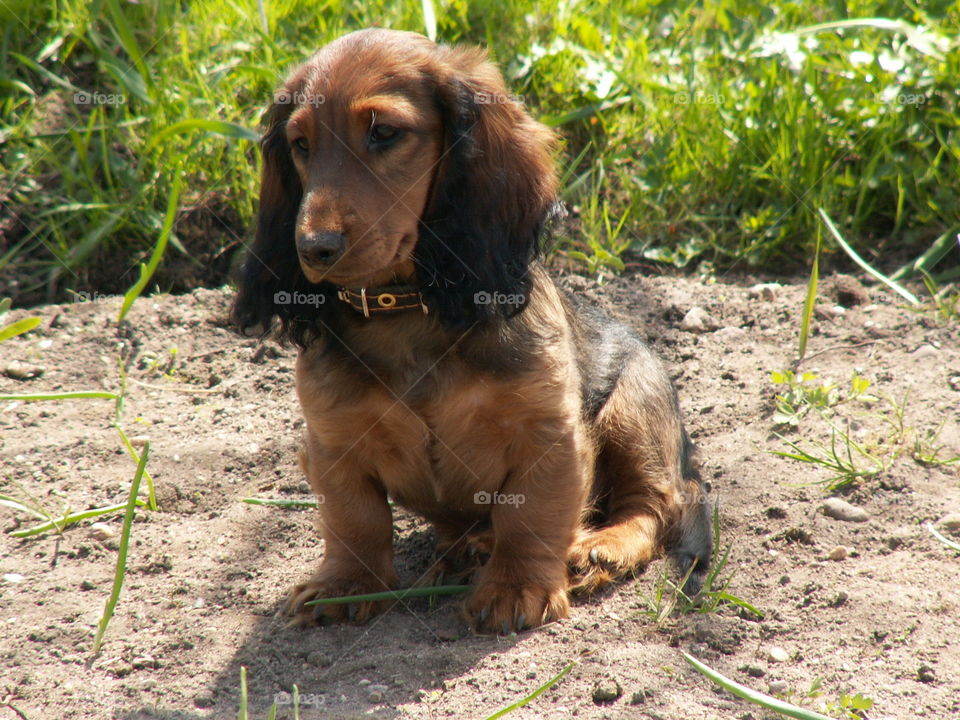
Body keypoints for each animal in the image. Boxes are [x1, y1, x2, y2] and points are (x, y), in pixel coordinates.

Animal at [231, 29, 712, 636]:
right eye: (300, 144)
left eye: (384, 133)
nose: (313, 249)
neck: (406, 310)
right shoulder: (333, 441)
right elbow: (354, 519)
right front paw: (347, 584)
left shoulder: (548, 434)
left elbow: (532, 515)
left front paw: (515, 588)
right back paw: (472, 544)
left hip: (632, 413)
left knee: (654, 506)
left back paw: (596, 548)